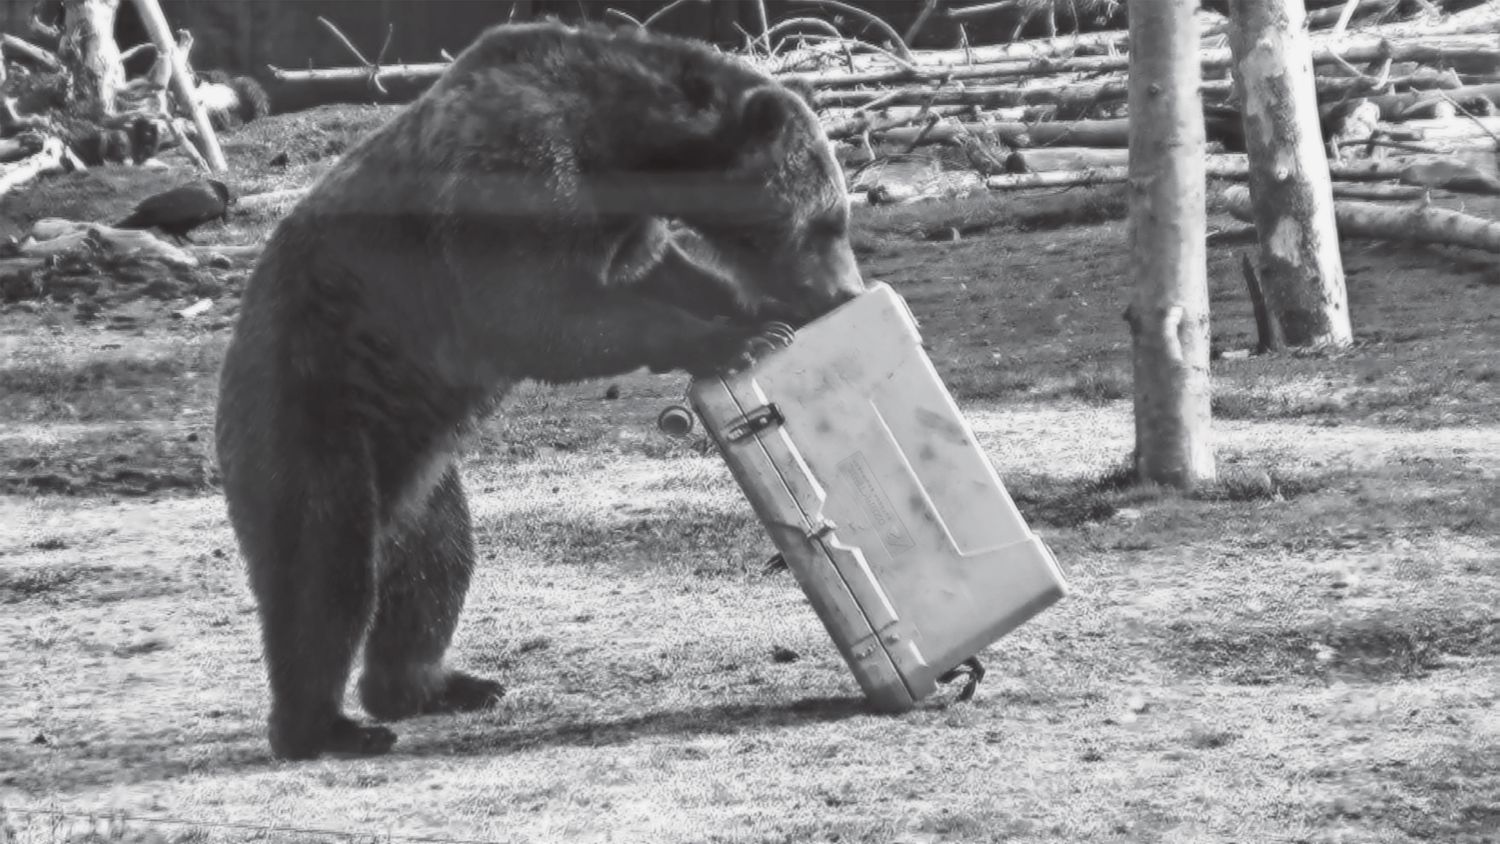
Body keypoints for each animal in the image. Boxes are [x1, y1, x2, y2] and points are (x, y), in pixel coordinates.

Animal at [214, 19, 870, 761]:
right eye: (826, 221)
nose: (843, 291)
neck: (625, 150)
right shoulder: (511, 175)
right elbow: (537, 310)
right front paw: (739, 339)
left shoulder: (623, 224)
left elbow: (657, 273)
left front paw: (756, 313)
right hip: (315, 394)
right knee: (324, 564)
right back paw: (324, 727)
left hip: (420, 466)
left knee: (436, 563)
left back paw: (434, 686)